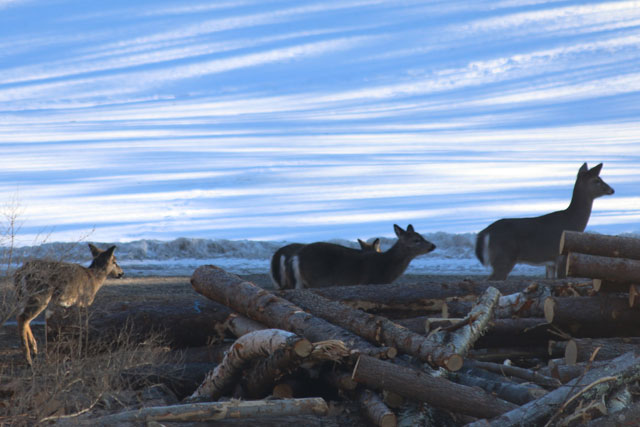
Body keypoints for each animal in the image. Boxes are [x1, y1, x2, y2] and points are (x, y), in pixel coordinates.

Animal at [290, 224, 435, 288]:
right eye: (416, 240)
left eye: (422, 236)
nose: (433, 246)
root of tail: (297, 256)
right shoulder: (369, 281)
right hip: (318, 279)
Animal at [475, 163, 615, 280]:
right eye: (597, 180)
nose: (611, 190)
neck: (572, 221)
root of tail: (485, 232)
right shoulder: (562, 256)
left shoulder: (550, 262)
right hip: (504, 256)